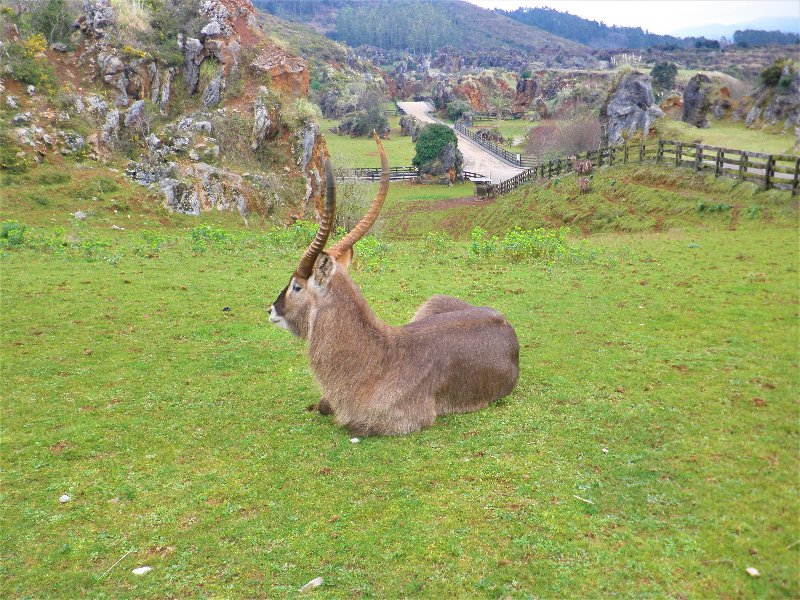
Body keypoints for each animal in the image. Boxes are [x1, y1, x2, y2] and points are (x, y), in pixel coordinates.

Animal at [268, 136, 520, 436]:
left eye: (296, 286)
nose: (271, 309)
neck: (379, 358)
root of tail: (506, 324)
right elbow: (324, 405)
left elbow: (351, 424)